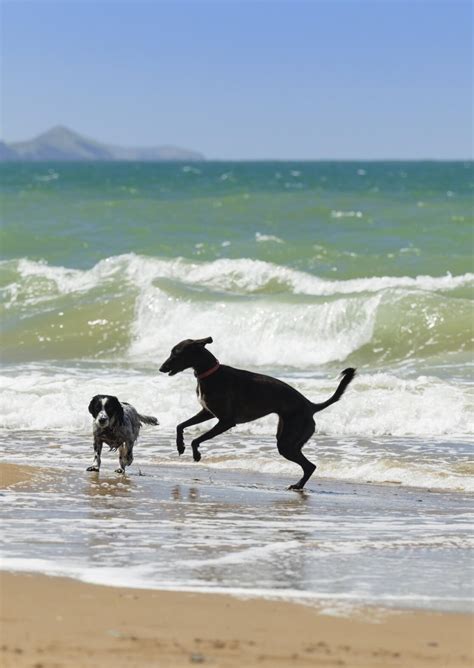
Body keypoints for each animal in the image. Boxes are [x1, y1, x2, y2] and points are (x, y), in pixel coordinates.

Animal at [160, 340, 356, 490]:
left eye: (176, 353)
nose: (161, 368)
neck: (210, 374)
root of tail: (310, 406)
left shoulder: (226, 421)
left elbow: (196, 439)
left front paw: (196, 454)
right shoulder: (207, 413)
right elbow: (180, 425)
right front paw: (180, 446)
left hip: (287, 441)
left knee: (310, 466)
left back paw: (298, 485)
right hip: (289, 438)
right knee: (308, 465)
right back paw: (299, 485)